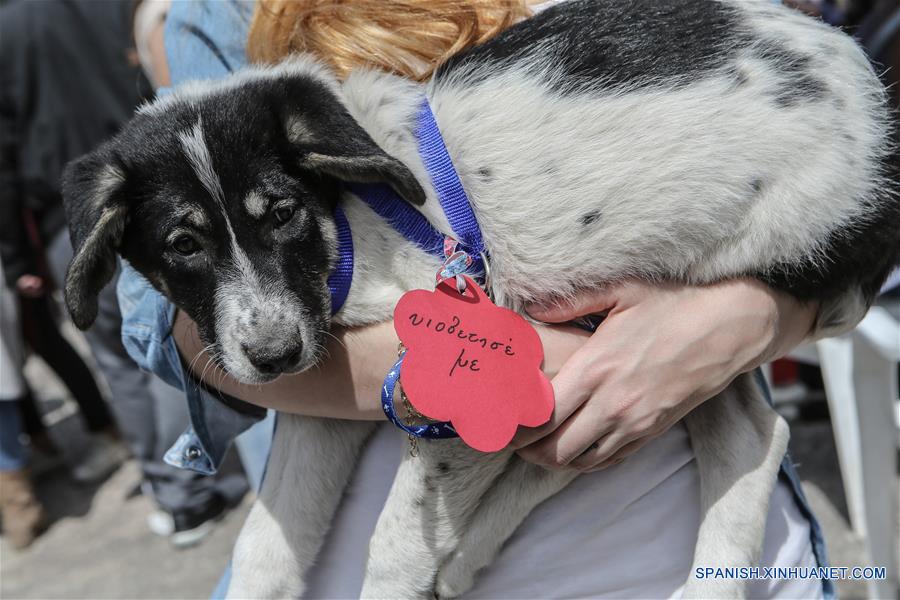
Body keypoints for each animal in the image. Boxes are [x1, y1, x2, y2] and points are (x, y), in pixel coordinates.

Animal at [61, 2, 892, 596]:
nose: (271, 356)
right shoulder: (320, 389)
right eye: (183, 246)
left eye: (283, 212)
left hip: (748, 263)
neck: (349, 222)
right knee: (739, 437)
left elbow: (394, 545)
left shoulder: (455, 374)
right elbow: (268, 546)